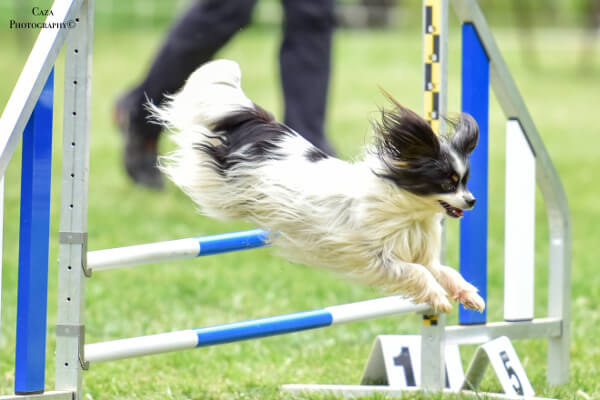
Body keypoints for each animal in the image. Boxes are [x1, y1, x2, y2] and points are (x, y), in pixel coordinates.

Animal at [154, 59, 482, 312]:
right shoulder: (376, 256)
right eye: (447, 182)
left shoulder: (419, 252)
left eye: (465, 181)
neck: (410, 213)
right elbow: (417, 272)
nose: (472, 201)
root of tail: (267, 129)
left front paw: (468, 295)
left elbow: (443, 270)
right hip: (223, 186)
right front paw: (438, 298)